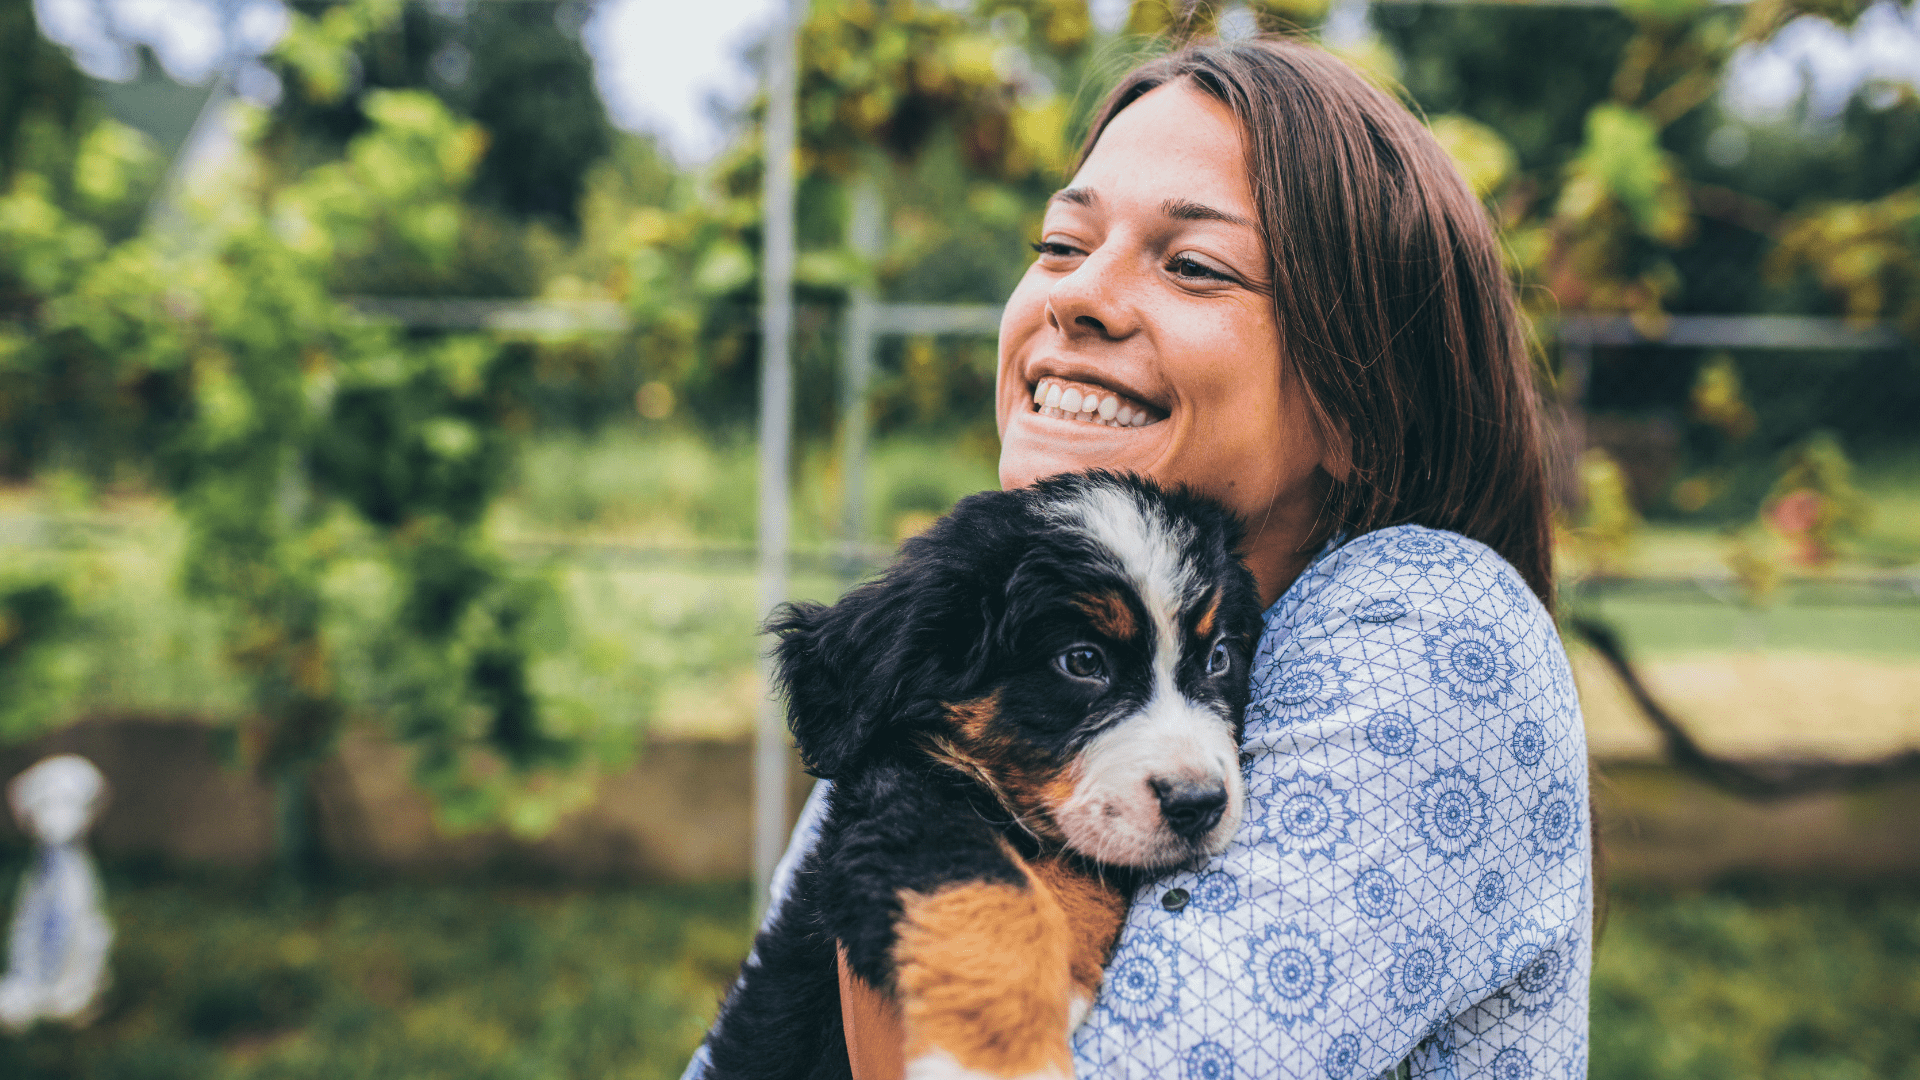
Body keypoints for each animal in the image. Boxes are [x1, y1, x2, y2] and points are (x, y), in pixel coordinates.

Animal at [702, 470, 1259, 1076]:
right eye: (1083, 662)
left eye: (1219, 657)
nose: (1199, 803)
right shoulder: (903, 802)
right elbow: (988, 889)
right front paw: (1003, 1052)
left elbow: (1084, 867)